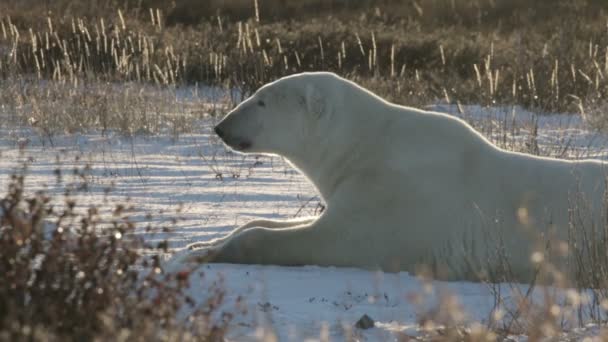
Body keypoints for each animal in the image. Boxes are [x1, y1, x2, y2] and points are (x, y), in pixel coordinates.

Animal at [173, 71, 604, 280]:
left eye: (261, 100)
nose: (222, 127)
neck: (364, 144)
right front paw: (199, 243)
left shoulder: (391, 198)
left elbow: (328, 239)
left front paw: (207, 253)